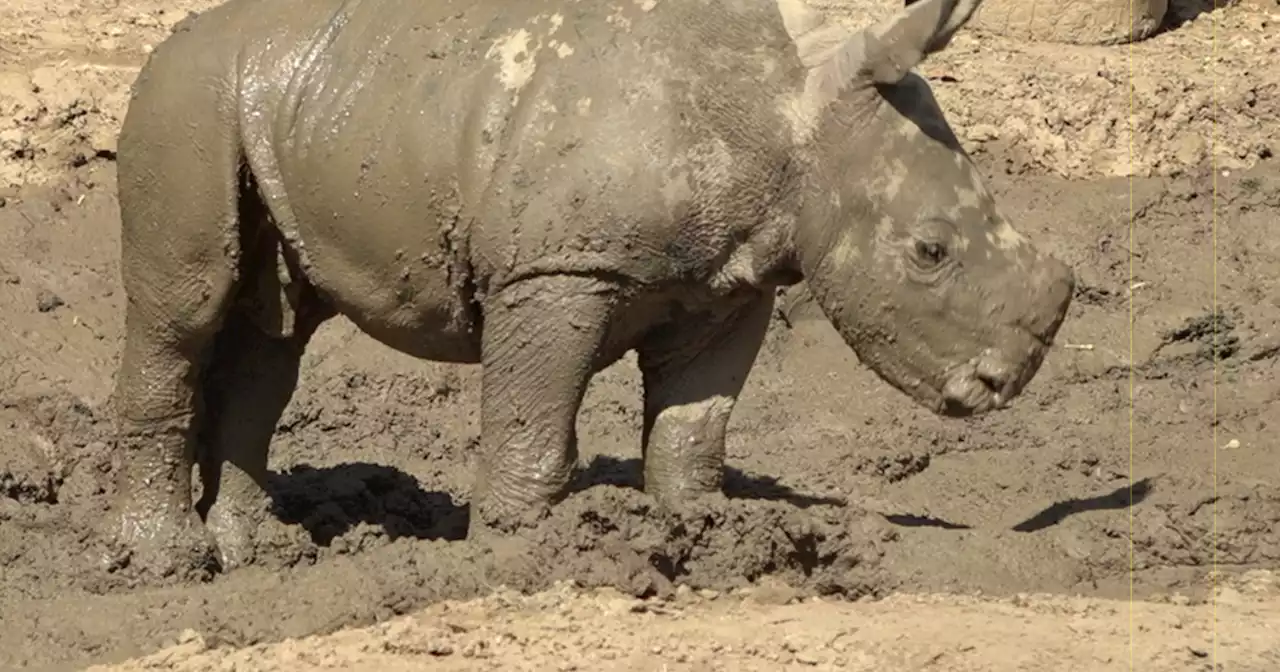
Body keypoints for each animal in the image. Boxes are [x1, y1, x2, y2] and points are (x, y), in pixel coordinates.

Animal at [104, 0, 1075, 578]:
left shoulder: (732, 284)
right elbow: (532, 431)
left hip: (293, 102)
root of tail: (171, 41)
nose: (1005, 382)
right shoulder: (558, 270)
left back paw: (259, 556)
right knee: (183, 313)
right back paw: (167, 564)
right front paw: (510, 564)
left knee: (274, 340)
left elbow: (693, 429)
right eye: (930, 252)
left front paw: (704, 545)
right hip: (182, 99)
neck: (789, 112)